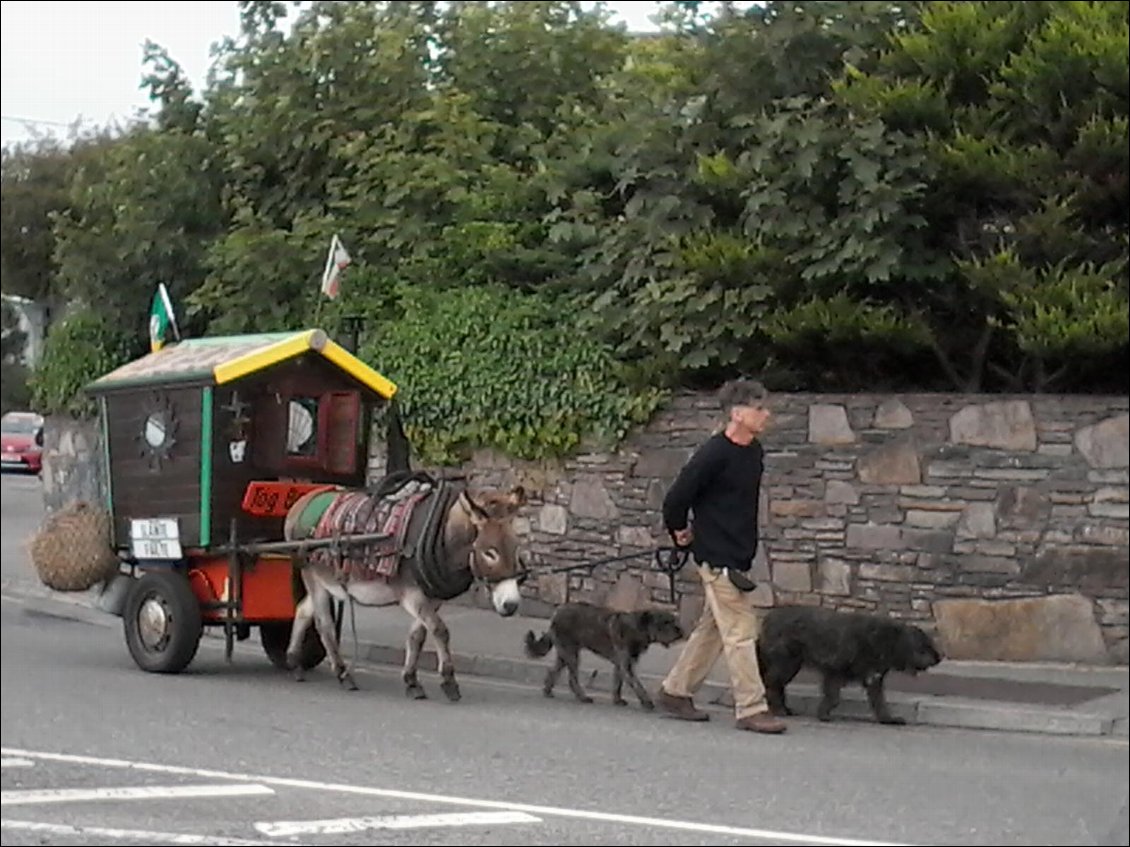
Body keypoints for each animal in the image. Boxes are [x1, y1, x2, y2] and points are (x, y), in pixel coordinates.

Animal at [522, 605, 687, 709]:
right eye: (666, 622)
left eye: (674, 620)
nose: (680, 631)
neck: (638, 627)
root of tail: (556, 613)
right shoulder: (626, 665)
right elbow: (637, 684)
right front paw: (646, 701)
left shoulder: (621, 664)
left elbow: (617, 683)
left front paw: (617, 700)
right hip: (571, 654)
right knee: (572, 679)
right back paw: (582, 697)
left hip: (565, 653)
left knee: (553, 671)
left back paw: (548, 690)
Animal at [759, 605, 944, 727]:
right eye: (925, 646)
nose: (939, 658)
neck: (890, 641)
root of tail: (767, 618)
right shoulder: (840, 671)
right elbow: (835, 697)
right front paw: (824, 714)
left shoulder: (869, 677)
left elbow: (878, 702)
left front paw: (887, 719)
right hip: (786, 664)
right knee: (771, 684)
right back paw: (778, 709)